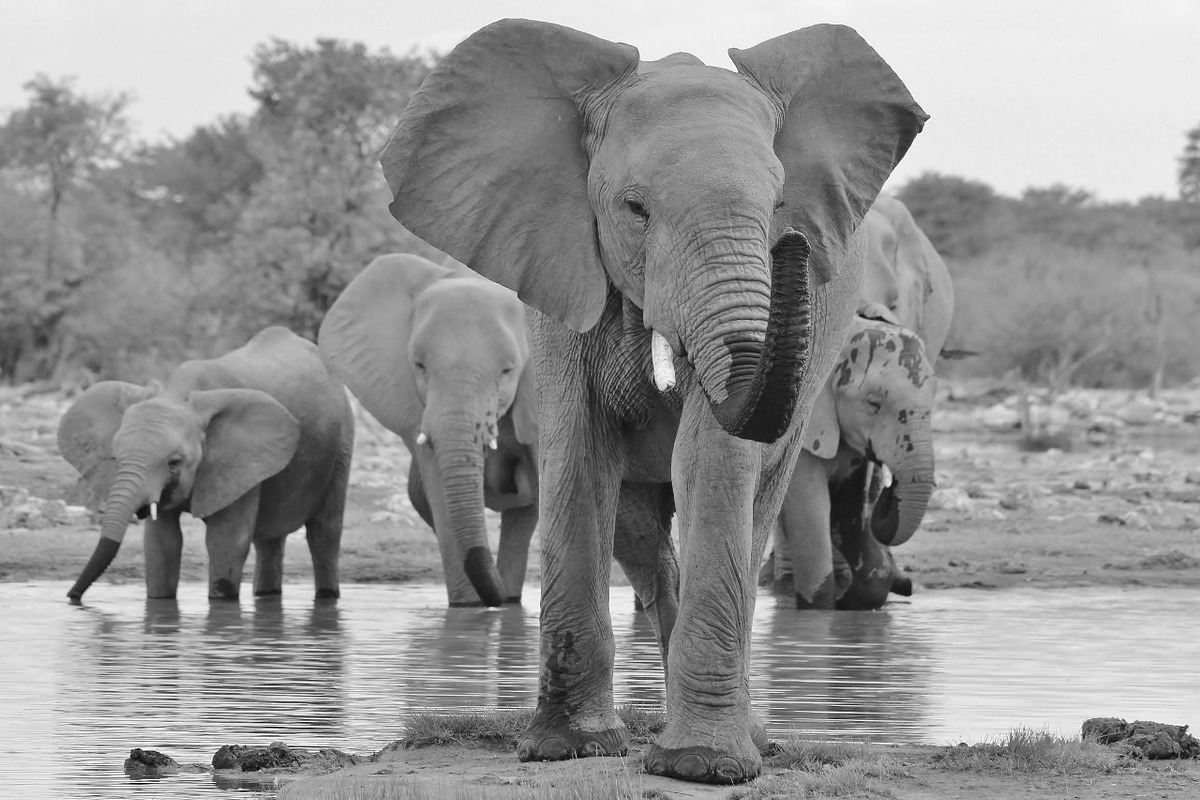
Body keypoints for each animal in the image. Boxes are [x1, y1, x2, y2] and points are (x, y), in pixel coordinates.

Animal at [57, 326, 354, 603]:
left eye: (174, 462)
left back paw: (327, 595)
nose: (72, 597)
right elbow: (162, 544)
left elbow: (226, 541)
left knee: (324, 533)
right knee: (269, 540)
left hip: (342, 441)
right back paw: (266, 594)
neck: (178, 394)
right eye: (117, 458)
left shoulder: (240, 460)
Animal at [763, 312, 936, 609]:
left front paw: (849, 602)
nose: (890, 487)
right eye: (873, 403)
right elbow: (811, 510)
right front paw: (821, 609)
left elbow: (848, 511)